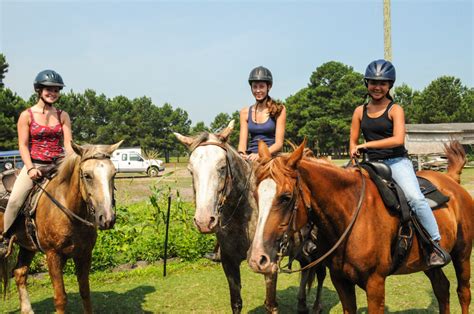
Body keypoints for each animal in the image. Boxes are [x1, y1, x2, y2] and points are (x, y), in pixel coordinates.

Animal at [0, 142, 122, 314]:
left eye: (114, 174)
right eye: (87, 175)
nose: (107, 218)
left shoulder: (84, 254)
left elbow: (85, 293)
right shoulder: (53, 256)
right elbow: (60, 298)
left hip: (28, 246)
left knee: (19, 273)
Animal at [174, 121, 326, 314]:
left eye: (222, 167)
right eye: (190, 170)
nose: (204, 221)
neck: (242, 216)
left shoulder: (268, 264)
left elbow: (270, 304)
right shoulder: (229, 262)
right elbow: (236, 302)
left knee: (320, 274)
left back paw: (316, 306)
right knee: (306, 268)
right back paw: (301, 303)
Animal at [250, 140, 472, 314]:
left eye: (286, 197)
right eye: (255, 194)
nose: (258, 259)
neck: (350, 217)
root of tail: (451, 179)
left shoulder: (375, 284)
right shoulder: (341, 282)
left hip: (462, 254)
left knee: (463, 292)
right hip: (428, 264)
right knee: (442, 289)